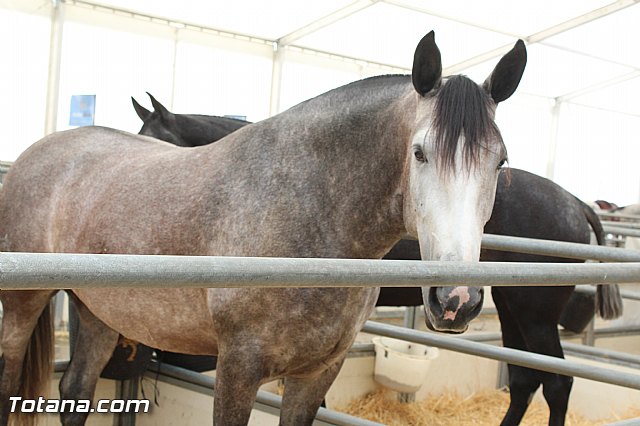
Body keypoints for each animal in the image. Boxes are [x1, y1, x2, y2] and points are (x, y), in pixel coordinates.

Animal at [0, 31, 527, 425]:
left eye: (500, 162)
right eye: (419, 152)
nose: (456, 300)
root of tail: (34, 154)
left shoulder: (316, 374)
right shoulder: (238, 368)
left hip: (96, 311)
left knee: (76, 391)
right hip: (23, 304)